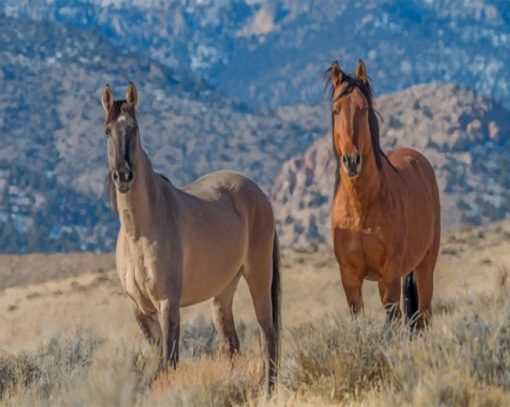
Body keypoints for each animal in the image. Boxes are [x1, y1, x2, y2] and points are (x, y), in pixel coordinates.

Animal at [101, 82, 280, 392]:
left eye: (134, 128)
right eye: (107, 131)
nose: (123, 176)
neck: (141, 232)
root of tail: (260, 195)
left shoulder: (168, 304)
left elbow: (169, 362)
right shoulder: (141, 311)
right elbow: (157, 363)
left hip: (258, 276)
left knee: (267, 335)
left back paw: (267, 392)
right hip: (223, 292)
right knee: (231, 345)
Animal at [326, 59, 442, 328]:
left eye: (363, 109)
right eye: (336, 110)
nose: (352, 161)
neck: (361, 209)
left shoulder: (390, 274)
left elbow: (392, 321)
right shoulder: (350, 278)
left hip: (424, 266)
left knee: (424, 315)